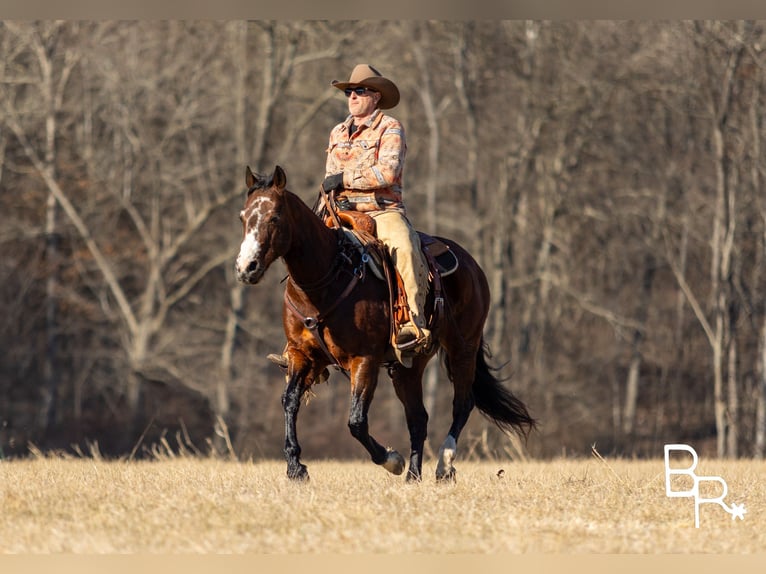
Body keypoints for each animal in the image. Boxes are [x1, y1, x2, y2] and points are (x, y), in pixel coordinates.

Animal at [237, 165, 536, 482]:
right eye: (243, 217)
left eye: (275, 217)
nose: (246, 268)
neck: (326, 277)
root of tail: (472, 265)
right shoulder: (301, 354)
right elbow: (290, 401)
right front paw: (296, 467)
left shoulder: (364, 359)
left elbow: (356, 421)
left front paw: (392, 459)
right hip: (408, 366)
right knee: (418, 417)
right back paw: (413, 476)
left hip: (462, 348)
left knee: (462, 405)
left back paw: (444, 465)